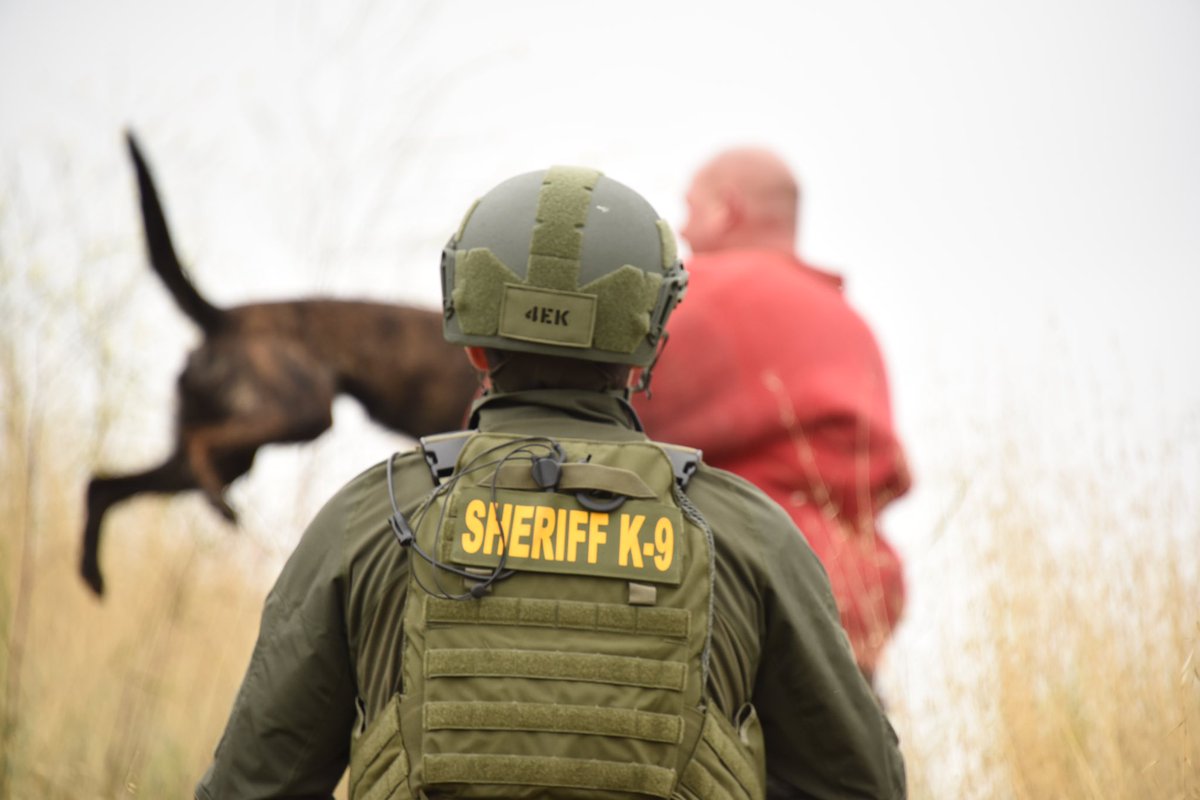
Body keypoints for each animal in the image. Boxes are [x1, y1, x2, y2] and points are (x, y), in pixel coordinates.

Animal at [78, 133, 482, 594]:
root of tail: (223, 318)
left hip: (223, 455)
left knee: (101, 486)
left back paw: (93, 575)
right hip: (301, 413)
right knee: (198, 444)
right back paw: (220, 508)